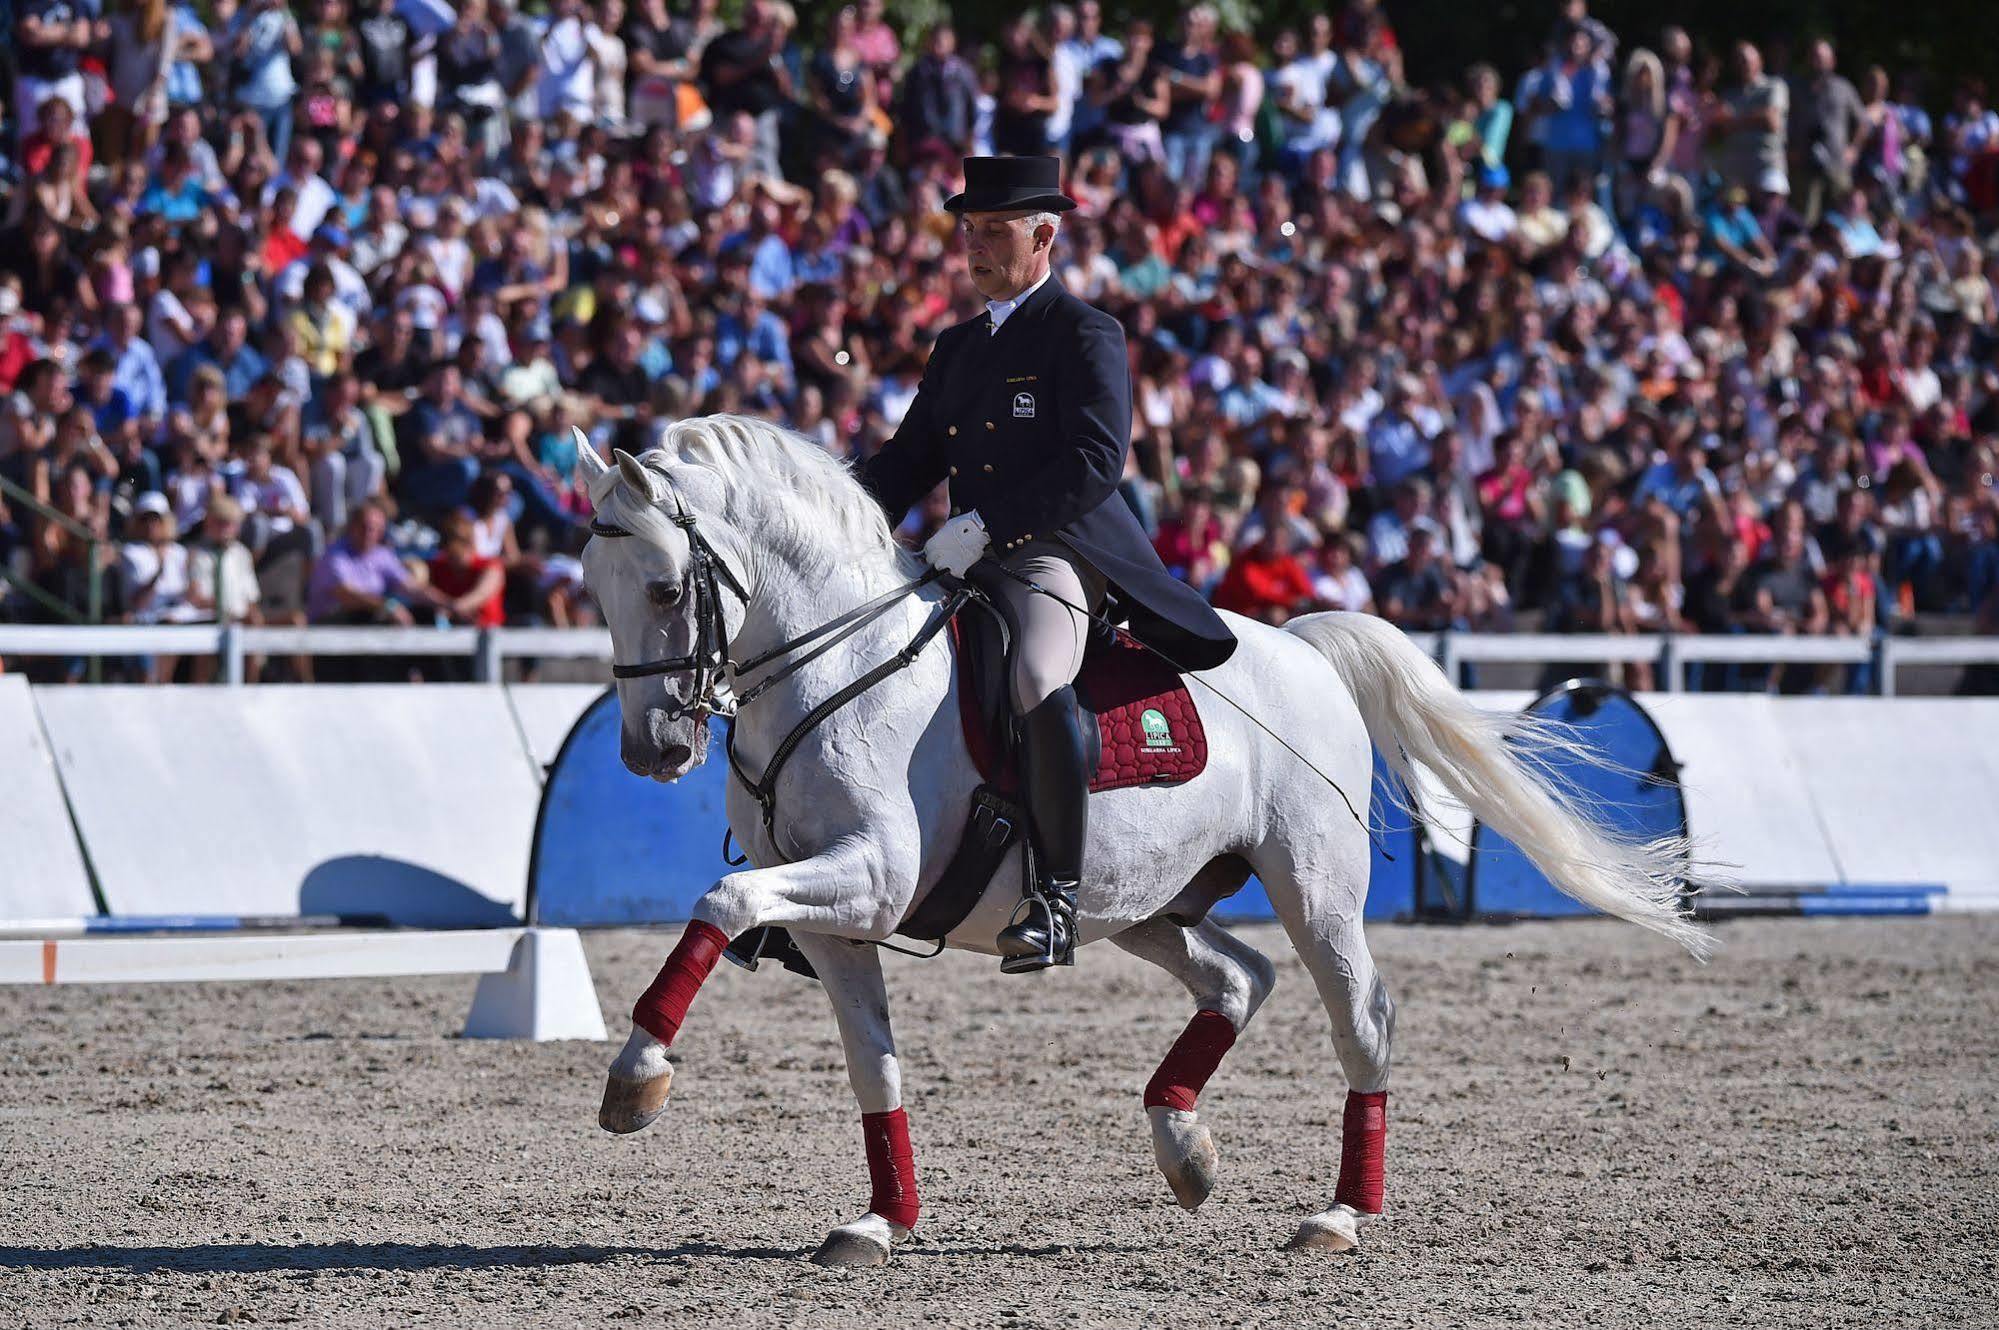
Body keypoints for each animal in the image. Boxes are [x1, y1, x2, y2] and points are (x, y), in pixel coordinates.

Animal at [571, 416, 1711, 1264]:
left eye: (666, 588)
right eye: (593, 589)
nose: (651, 748)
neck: (839, 664)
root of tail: (1301, 650)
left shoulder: (870, 880)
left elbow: (719, 903)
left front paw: (635, 1080)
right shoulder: (836, 917)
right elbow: (872, 1066)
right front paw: (880, 1221)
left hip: (1312, 891)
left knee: (1360, 1017)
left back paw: (1338, 1214)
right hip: (1144, 905)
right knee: (1240, 977)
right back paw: (1184, 1146)